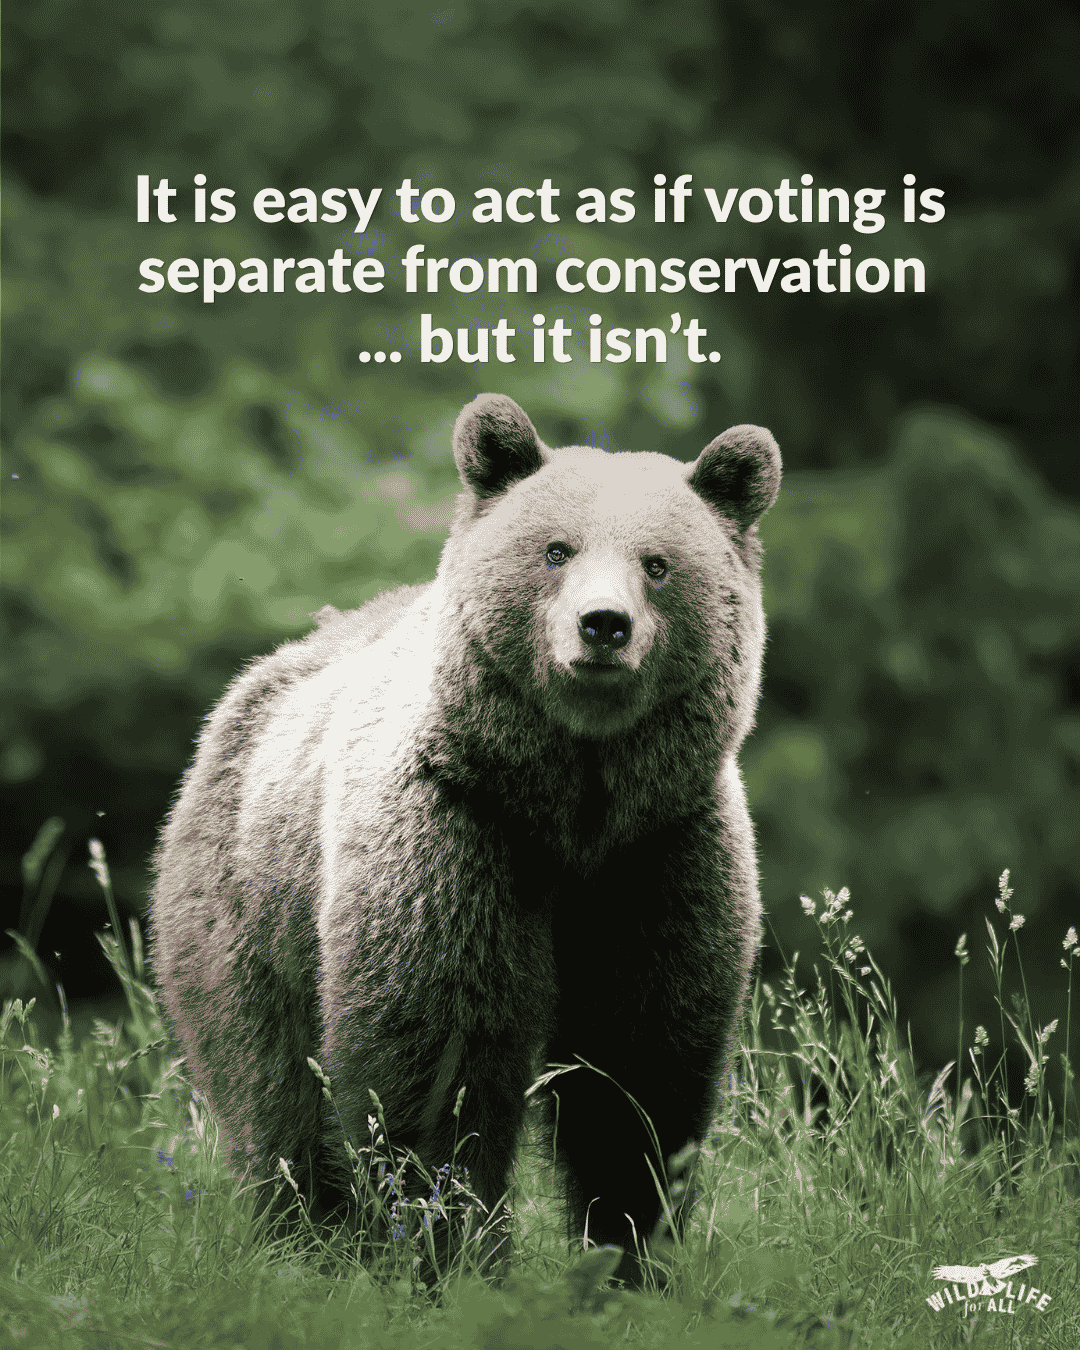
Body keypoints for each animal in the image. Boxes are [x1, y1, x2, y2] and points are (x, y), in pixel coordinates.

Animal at [150, 393, 780, 1282]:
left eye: (657, 564)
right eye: (556, 550)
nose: (604, 626)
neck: (571, 807)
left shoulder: (659, 854)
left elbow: (641, 1066)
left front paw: (631, 1254)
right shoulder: (459, 832)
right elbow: (442, 1053)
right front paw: (448, 1254)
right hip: (247, 902)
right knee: (271, 1087)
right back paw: (305, 1237)